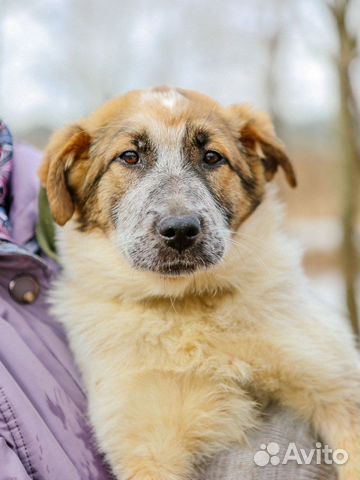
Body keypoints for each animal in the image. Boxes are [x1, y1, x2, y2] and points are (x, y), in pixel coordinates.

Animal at [40, 87, 360, 480]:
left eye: (212, 157)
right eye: (129, 157)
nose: (180, 230)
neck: (188, 305)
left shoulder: (339, 390)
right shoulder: (147, 444)